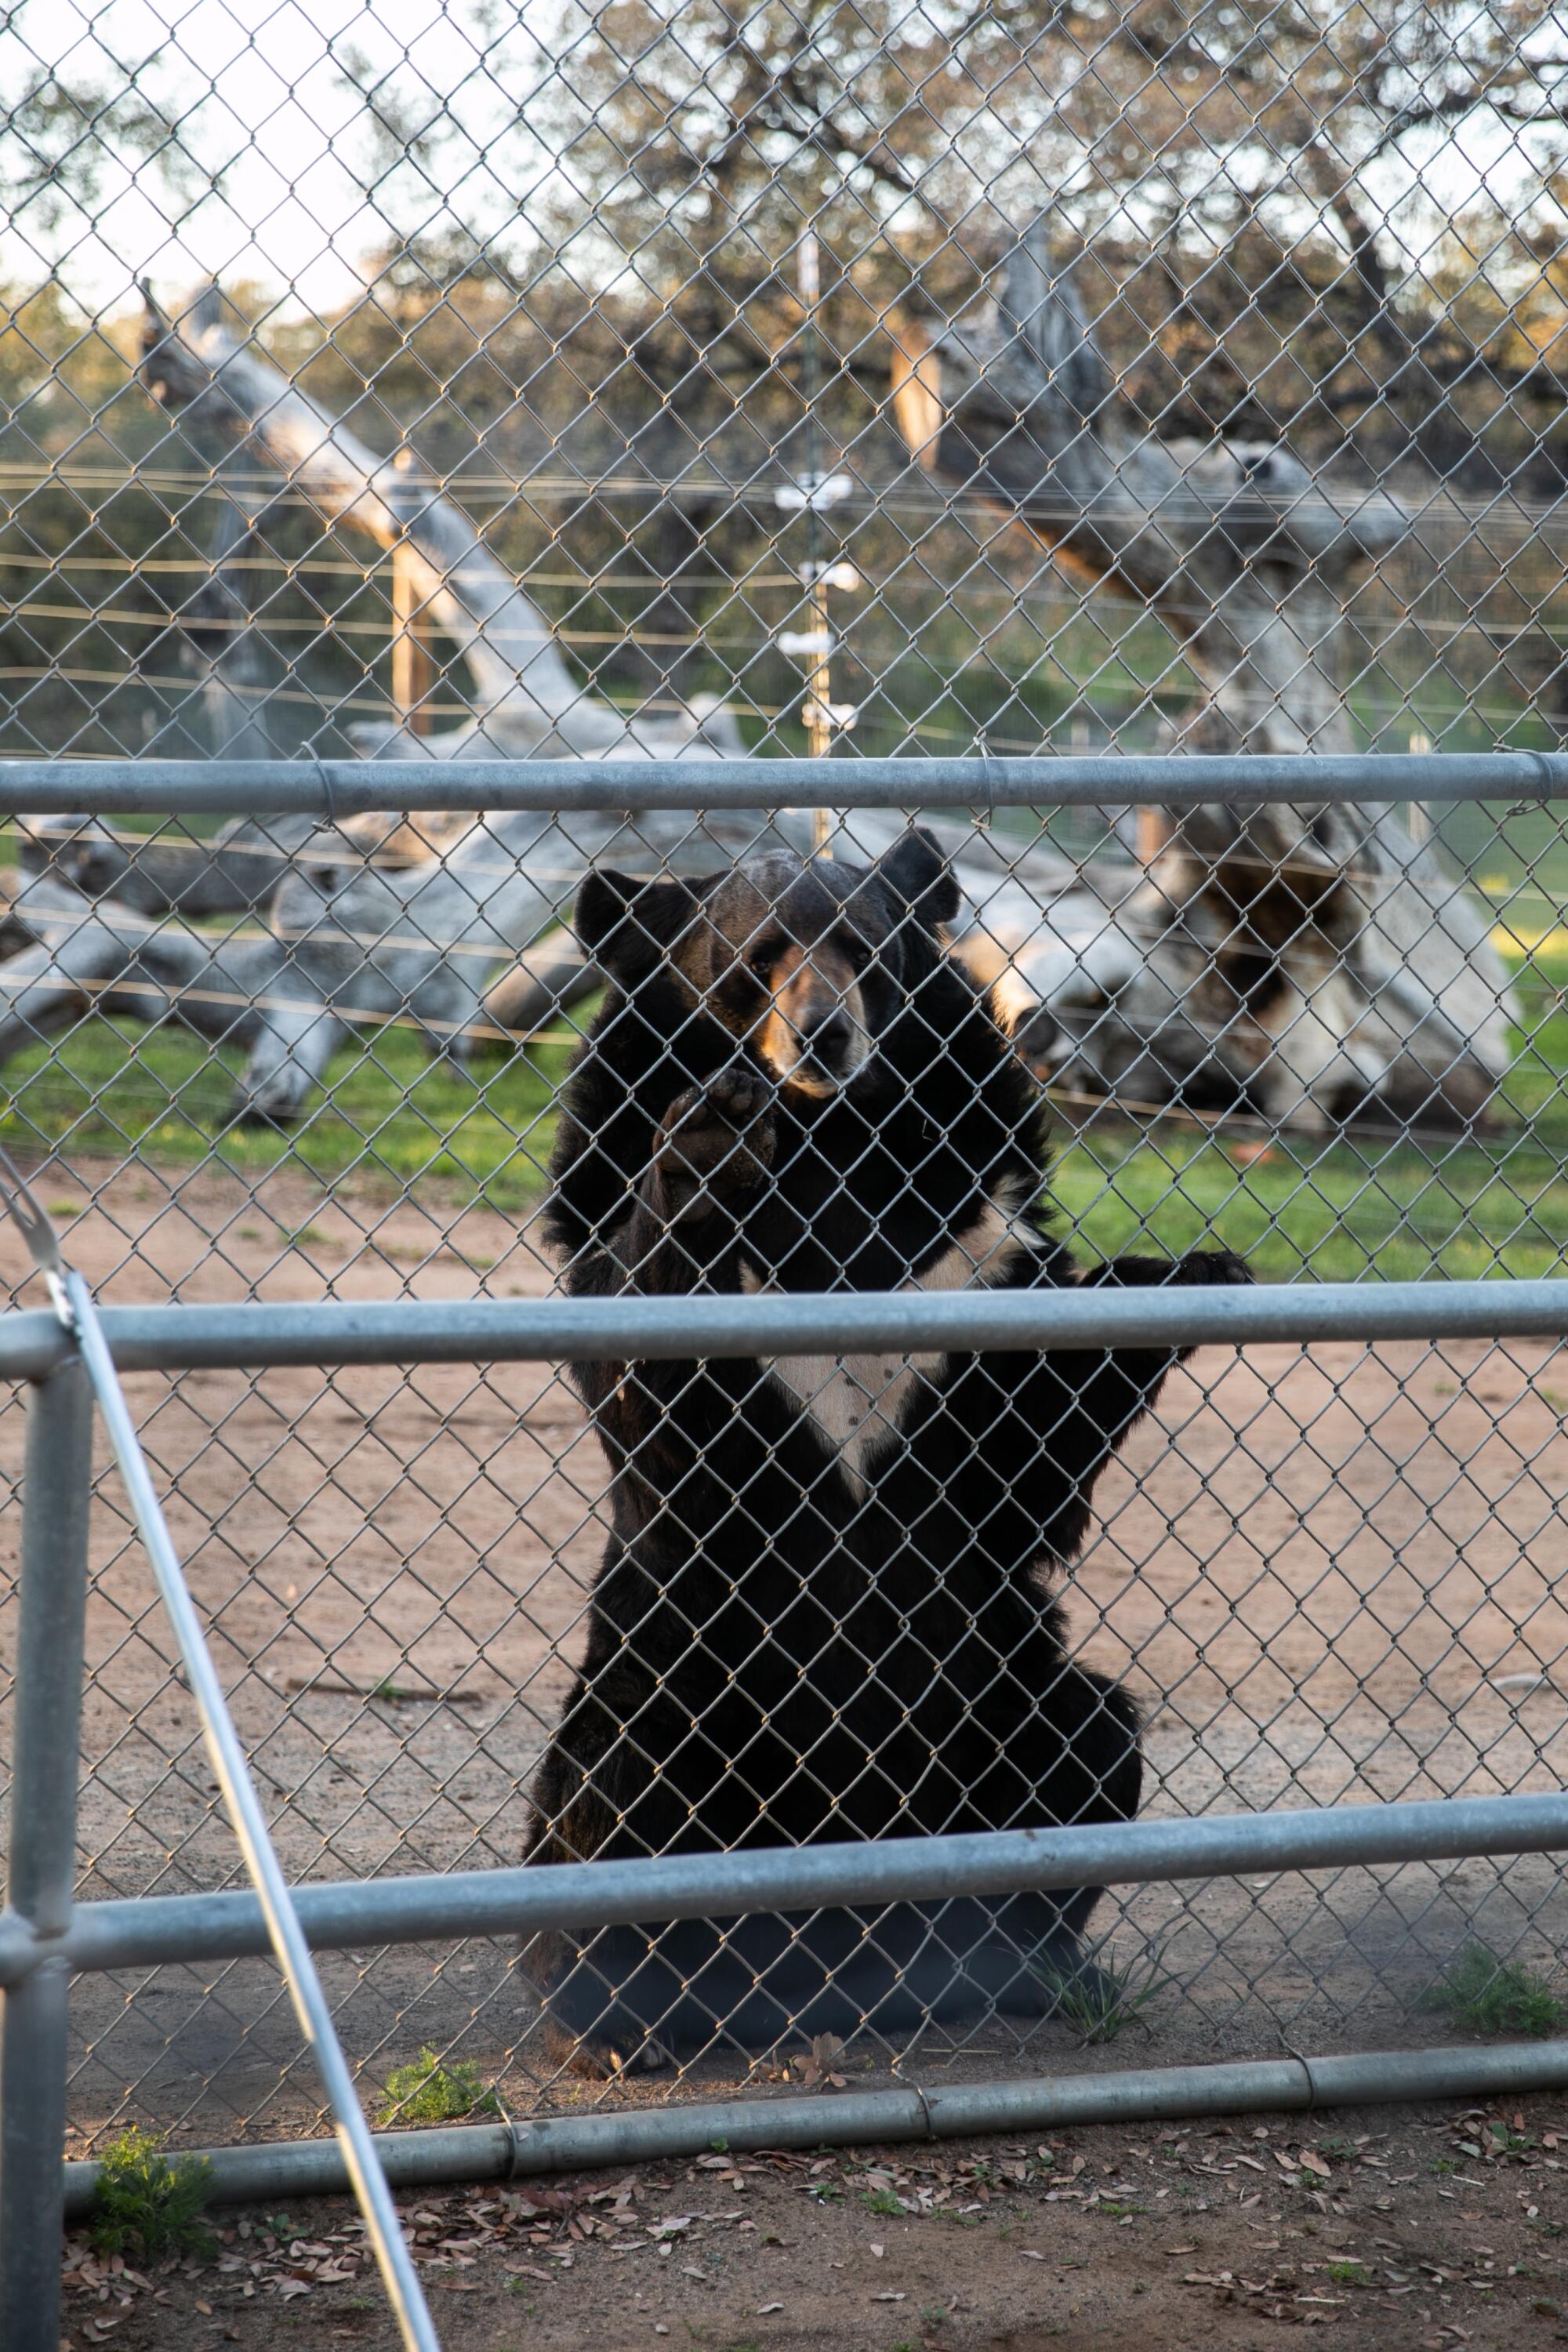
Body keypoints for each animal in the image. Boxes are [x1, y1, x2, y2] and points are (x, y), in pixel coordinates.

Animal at [526, 833, 1250, 2079]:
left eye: (864, 950)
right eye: (757, 959)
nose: (825, 1037)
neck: (830, 1150)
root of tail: (824, 1970)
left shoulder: (968, 1246)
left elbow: (1029, 1428)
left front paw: (1202, 1271)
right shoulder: (614, 1182)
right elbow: (653, 1363)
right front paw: (708, 1149)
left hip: (1002, 1690)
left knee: (1090, 1737)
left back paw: (1028, 1968)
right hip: (667, 1691)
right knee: (608, 1797)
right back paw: (623, 2017)